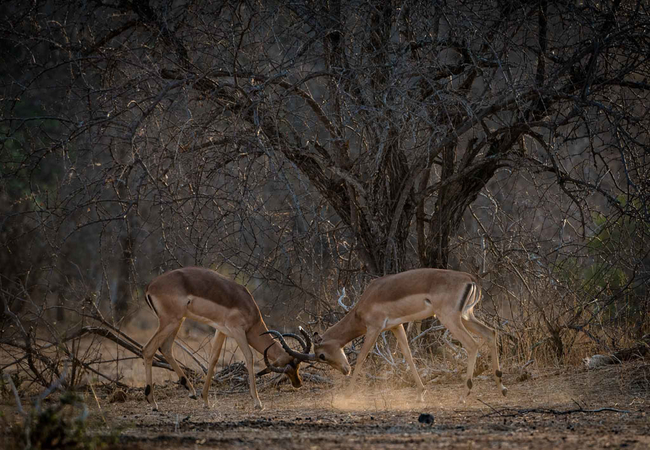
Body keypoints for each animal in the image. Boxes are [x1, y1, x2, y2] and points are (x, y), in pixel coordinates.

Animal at [141, 268, 306, 412]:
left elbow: (213, 359)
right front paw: (257, 402)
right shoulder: (237, 330)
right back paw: (153, 403)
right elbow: (249, 357)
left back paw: (191, 392)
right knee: (148, 349)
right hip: (171, 321)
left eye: (298, 365)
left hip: (177, 321)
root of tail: (150, 286)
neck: (250, 310)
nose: (298, 383)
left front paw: (205, 400)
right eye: (290, 365)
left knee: (165, 348)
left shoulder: (221, 330)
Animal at [268, 268, 506, 400]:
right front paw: (421, 393)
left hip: (450, 318)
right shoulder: (396, 327)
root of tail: (470, 279)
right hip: (466, 316)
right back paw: (501, 388)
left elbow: (362, 358)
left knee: (473, 345)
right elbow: (408, 356)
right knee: (491, 333)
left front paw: (347, 394)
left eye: (321, 356)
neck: (363, 304)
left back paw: (464, 396)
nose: (344, 370)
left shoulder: (374, 329)